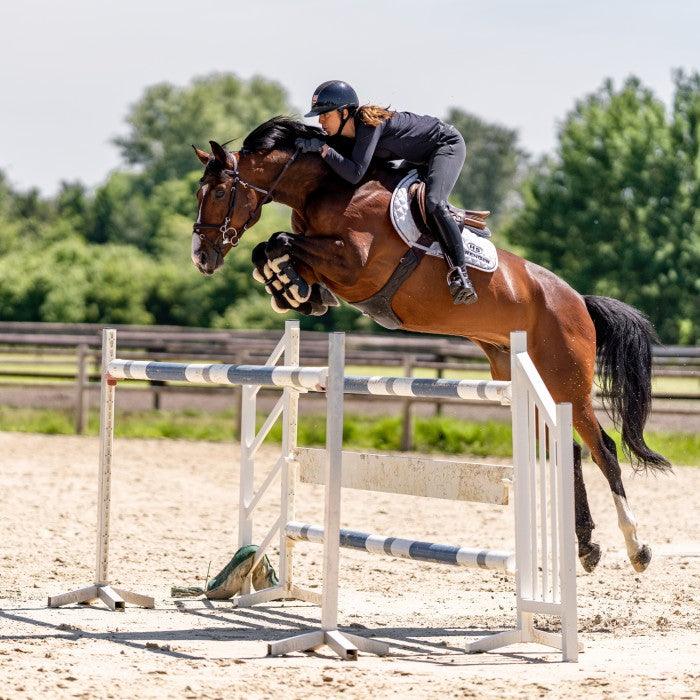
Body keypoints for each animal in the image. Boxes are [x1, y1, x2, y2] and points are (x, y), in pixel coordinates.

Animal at [191, 116, 672, 576]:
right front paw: (291, 290)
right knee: (569, 450)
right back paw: (588, 547)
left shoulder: (356, 265)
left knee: (603, 450)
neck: (326, 190)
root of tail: (579, 302)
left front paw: (290, 285)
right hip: (522, 377)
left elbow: (280, 242)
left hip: (566, 381)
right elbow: (271, 248)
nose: (201, 257)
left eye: (219, 192)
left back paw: (637, 548)